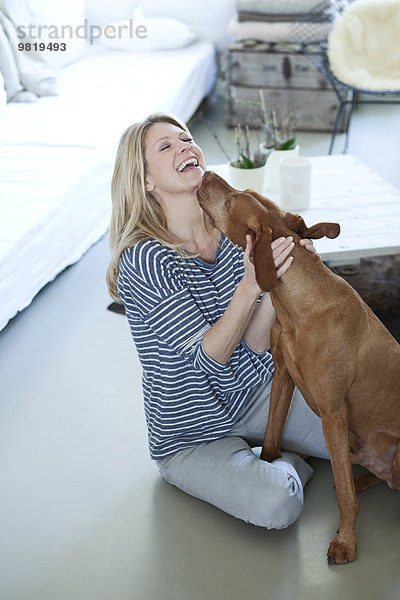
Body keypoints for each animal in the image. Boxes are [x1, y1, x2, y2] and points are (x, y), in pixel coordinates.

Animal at [198, 171, 400, 564]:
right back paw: (359, 479)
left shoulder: (334, 413)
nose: (207, 174)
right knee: (374, 475)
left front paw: (346, 541)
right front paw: (270, 462)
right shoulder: (284, 376)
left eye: (231, 200)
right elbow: (272, 436)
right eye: (241, 191)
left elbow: (344, 500)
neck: (299, 304)